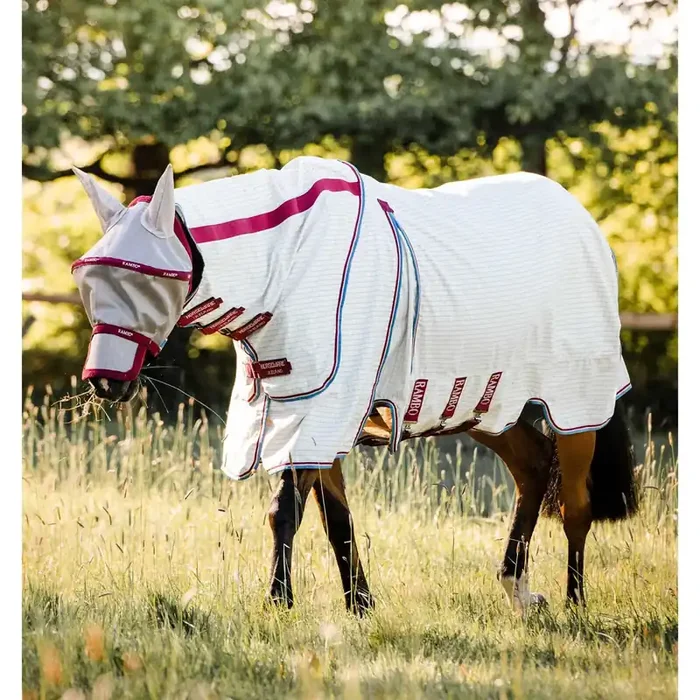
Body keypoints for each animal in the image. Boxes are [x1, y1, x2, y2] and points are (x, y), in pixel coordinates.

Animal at [70, 156, 637, 616]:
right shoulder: (306, 415)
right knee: (534, 467)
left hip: (577, 402)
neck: (288, 268)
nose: (105, 383)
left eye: (145, 282)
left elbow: (287, 511)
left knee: (576, 505)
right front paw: (358, 606)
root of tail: (584, 222)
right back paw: (519, 591)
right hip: (488, 405)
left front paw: (279, 603)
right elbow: (333, 520)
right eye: (88, 280)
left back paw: (575, 603)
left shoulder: (320, 411)